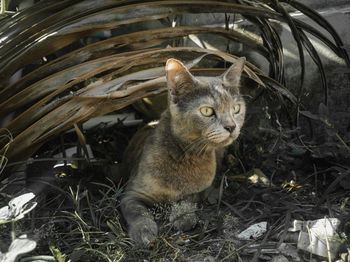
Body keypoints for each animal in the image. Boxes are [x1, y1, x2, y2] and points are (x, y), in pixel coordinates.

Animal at [120, 56, 246, 246]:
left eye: (236, 109)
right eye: (207, 111)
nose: (231, 126)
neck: (187, 155)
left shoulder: (199, 188)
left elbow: (190, 198)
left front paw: (183, 216)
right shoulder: (131, 192)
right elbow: (137, 211)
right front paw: (143, 232)